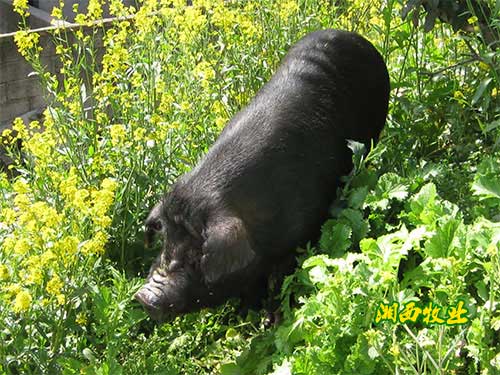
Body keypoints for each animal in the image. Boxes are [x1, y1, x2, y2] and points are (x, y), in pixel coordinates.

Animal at [136, 30, 390, 322]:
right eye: (166, 241)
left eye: (196, 255)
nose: (143, 296)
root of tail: (352, 36)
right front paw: (244, 314)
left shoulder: (302, 232)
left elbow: (286, 276)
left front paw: (272, 318)